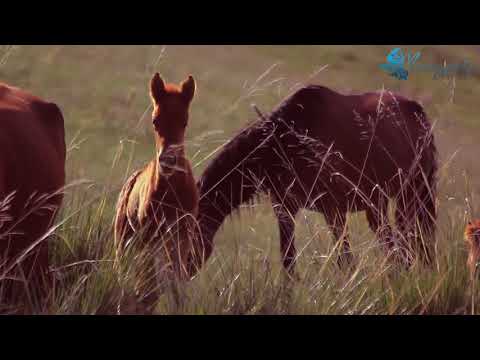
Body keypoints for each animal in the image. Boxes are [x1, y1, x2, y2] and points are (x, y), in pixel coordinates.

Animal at [114, 74, 199, 312]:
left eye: (185, 121)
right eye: (155, 121)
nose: (168, 160)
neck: (171, 193)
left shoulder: (182, 236)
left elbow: (177, 285)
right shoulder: (152, 236)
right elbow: (153, 284)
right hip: (126, 243)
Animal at [189, 84, 436, 276]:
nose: (179, 276)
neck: (285, 142)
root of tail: (418, 112)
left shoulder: (334, 211)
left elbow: (345, 261)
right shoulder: (286, 209)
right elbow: (289, 261)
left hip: (409, 197)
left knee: (409, 247)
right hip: (382, 206)